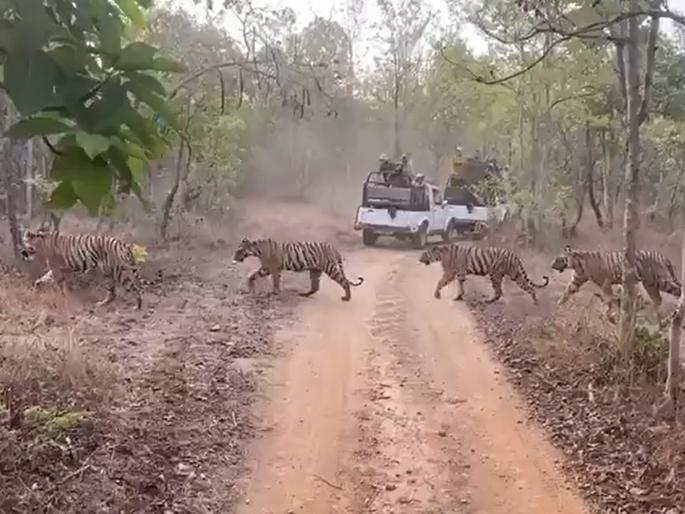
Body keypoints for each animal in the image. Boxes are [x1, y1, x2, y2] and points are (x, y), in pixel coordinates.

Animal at [232, 237, 364, 301]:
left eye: (239, 251)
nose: (234, 258)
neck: (257, 249)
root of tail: (333, 247)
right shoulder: (272, 269)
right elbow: (254, 276)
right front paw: (251, 287)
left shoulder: (269, 268)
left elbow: (270, 279)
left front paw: (274, 293)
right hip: (315, 271)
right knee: (315, 287)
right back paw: (304, 294)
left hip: (330, 268)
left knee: (345, 282)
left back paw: (347, 298)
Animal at [419, 244, 550, 304]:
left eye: (424, 254)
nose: (419, 259)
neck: (440, 254)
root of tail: (512, 254)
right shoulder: (460, 274)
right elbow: (460, 285)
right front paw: (459, 297)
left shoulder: (449, 273)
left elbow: (440, 282)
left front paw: (437, 294)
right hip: (515, 274)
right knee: (529, 288)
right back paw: (536, 302)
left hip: (495, 274)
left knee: (499, 291)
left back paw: (489, 301)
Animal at [551, 245, 681, 324]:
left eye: (558, 259)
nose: (552, 266)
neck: (577, 264)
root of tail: (663, 257)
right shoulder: (576, 280)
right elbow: (567, 292)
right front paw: (558, 305)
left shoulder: (605, 283)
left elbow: (608, 299)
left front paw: (608, 315)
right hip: (653, 283)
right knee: (661, 297)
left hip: (656, 281)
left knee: (673, 292)